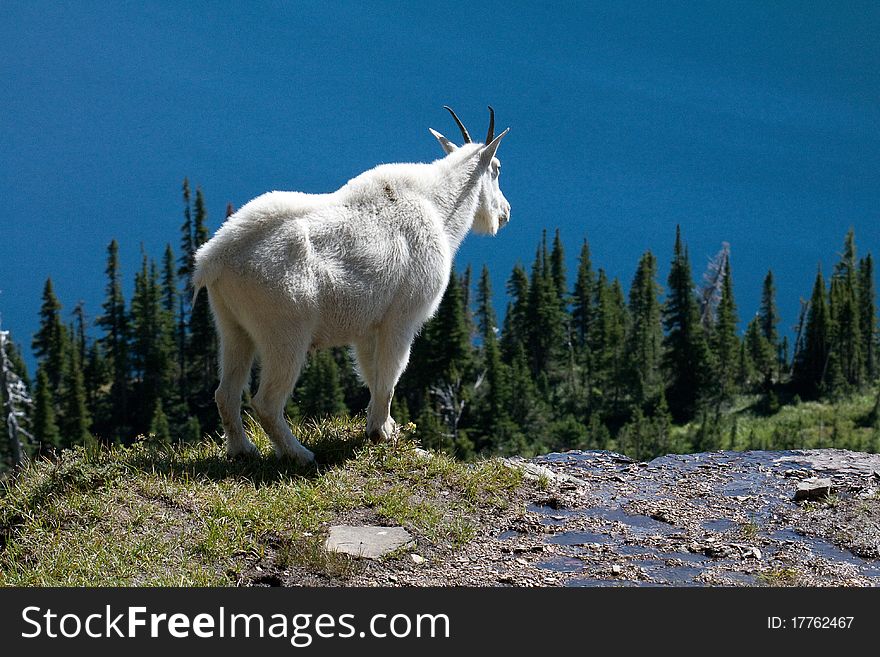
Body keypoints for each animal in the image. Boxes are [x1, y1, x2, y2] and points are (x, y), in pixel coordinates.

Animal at [192, 106, 508, 462]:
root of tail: (214, 258)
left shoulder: (369, 327)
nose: (505, 213)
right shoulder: (401, 319)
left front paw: (385, 426)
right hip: (284, 332)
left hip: (231, 326)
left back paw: (242, 450)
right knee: (266, 402)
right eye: (497, 168)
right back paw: (300, 454)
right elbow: (389, 376)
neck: (440, 207)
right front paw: (381, 433)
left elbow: (372, 374)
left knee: (225, 392)